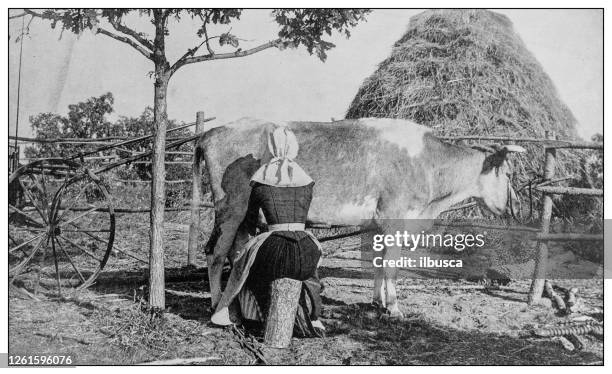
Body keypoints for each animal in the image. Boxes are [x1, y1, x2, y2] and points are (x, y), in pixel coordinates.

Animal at [194, 116, 524, 316]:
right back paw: (217, 304)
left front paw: (377, 301)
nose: (515, 207)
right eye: (509, 174)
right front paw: (394, 308)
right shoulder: (395, 217)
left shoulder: (378, 225)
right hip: (230, 206)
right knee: (214, 252)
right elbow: (391, 266)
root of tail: (214, 131)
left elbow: (378, 263)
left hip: (246, 213)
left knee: (236, 252)